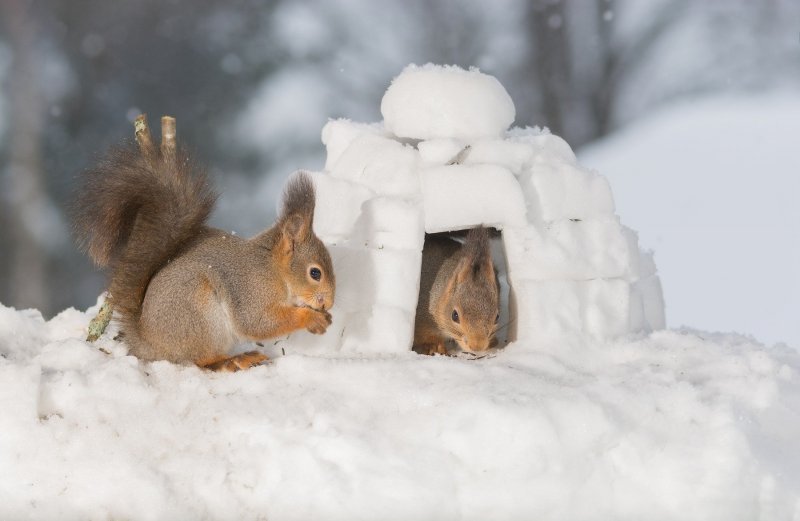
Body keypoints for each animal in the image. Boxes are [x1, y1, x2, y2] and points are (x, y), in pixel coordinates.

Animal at [74, 116, 334, 372]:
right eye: (315, 273)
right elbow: (258, 322)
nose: (329, 303)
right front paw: (311, 318)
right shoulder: (251, 290)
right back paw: (235, 360)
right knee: (200, 359)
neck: (273, 270)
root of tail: (148, 343)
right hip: (200, 317)